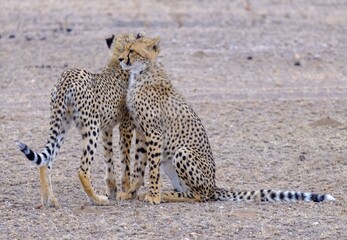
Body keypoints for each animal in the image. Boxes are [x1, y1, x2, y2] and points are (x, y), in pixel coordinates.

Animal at [16, 32, 144, 207]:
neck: (116, 61)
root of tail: (66, 77)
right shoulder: (125, 125)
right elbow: (125, 161)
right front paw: (126, 191)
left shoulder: (106, 128)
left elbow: (109, 159)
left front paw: (113, 191)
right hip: (91, 127)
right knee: (82, 170)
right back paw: (96, 199)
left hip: (61, 125)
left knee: (45, 161)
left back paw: (49, 200)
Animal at [117, 36, 338, 205]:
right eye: (125, 48)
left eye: (132, 50)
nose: (120, 59)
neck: (140, 74)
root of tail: (214, 185)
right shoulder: (142, 131)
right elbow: (139, 164)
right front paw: (130, 192)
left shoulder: (154, 132)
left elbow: (152, 168)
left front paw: (153, 195)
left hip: (183, 153)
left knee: (200, 196)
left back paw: (165, 195)